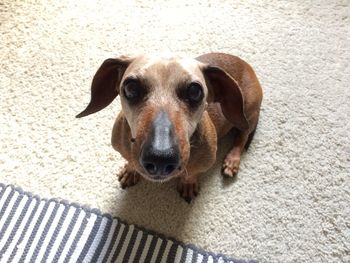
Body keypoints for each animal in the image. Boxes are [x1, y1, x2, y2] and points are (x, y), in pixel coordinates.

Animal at [77, 52, 262, 203]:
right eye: (130, 87)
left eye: (195, 91)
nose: (160, 158)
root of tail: (245, 64)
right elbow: (130, 161)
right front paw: (130, 171)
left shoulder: (204, 163)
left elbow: (191, 173)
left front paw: (188, 183)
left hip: (247, 111)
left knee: (243, 134)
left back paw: (232, 159)